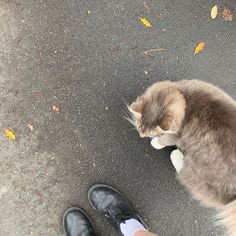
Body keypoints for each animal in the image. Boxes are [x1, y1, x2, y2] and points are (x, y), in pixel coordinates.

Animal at [128, 79, 236, 236]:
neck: (185, 100)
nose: (141, 136)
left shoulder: (176, 135)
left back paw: (177, 155)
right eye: (139, 127)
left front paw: (156, 142)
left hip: (197, 173)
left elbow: (165, 140)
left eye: (150, 133)